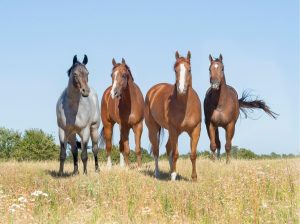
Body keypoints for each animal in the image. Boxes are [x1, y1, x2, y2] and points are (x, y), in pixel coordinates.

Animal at [145, 50, 202, 180]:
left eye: (189, 69)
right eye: (175, 70)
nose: (182, 89)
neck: (185, 107)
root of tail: (154, 90)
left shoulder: (196, 130)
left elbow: (193, 154)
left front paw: (194, 177)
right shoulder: (173, 130)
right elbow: (175, 154)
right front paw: (174, 176)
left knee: (167, 148)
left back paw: (171, 170)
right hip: (153, 128)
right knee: (156, 150)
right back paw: (158, 173)